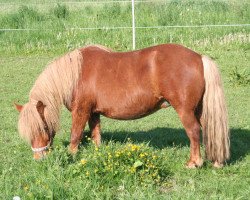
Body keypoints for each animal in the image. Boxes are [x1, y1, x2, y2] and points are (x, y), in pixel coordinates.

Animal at [14, 43, 229, 167]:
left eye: (42, 128)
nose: (39, 159)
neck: (75, 74)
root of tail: (198, 57)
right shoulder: (93, 113)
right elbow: (96, 134)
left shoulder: (81, 110)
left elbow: (76, 135)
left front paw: (71, 157)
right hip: (198, 109)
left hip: (185, 110)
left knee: (193, 132)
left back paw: (194, 163)